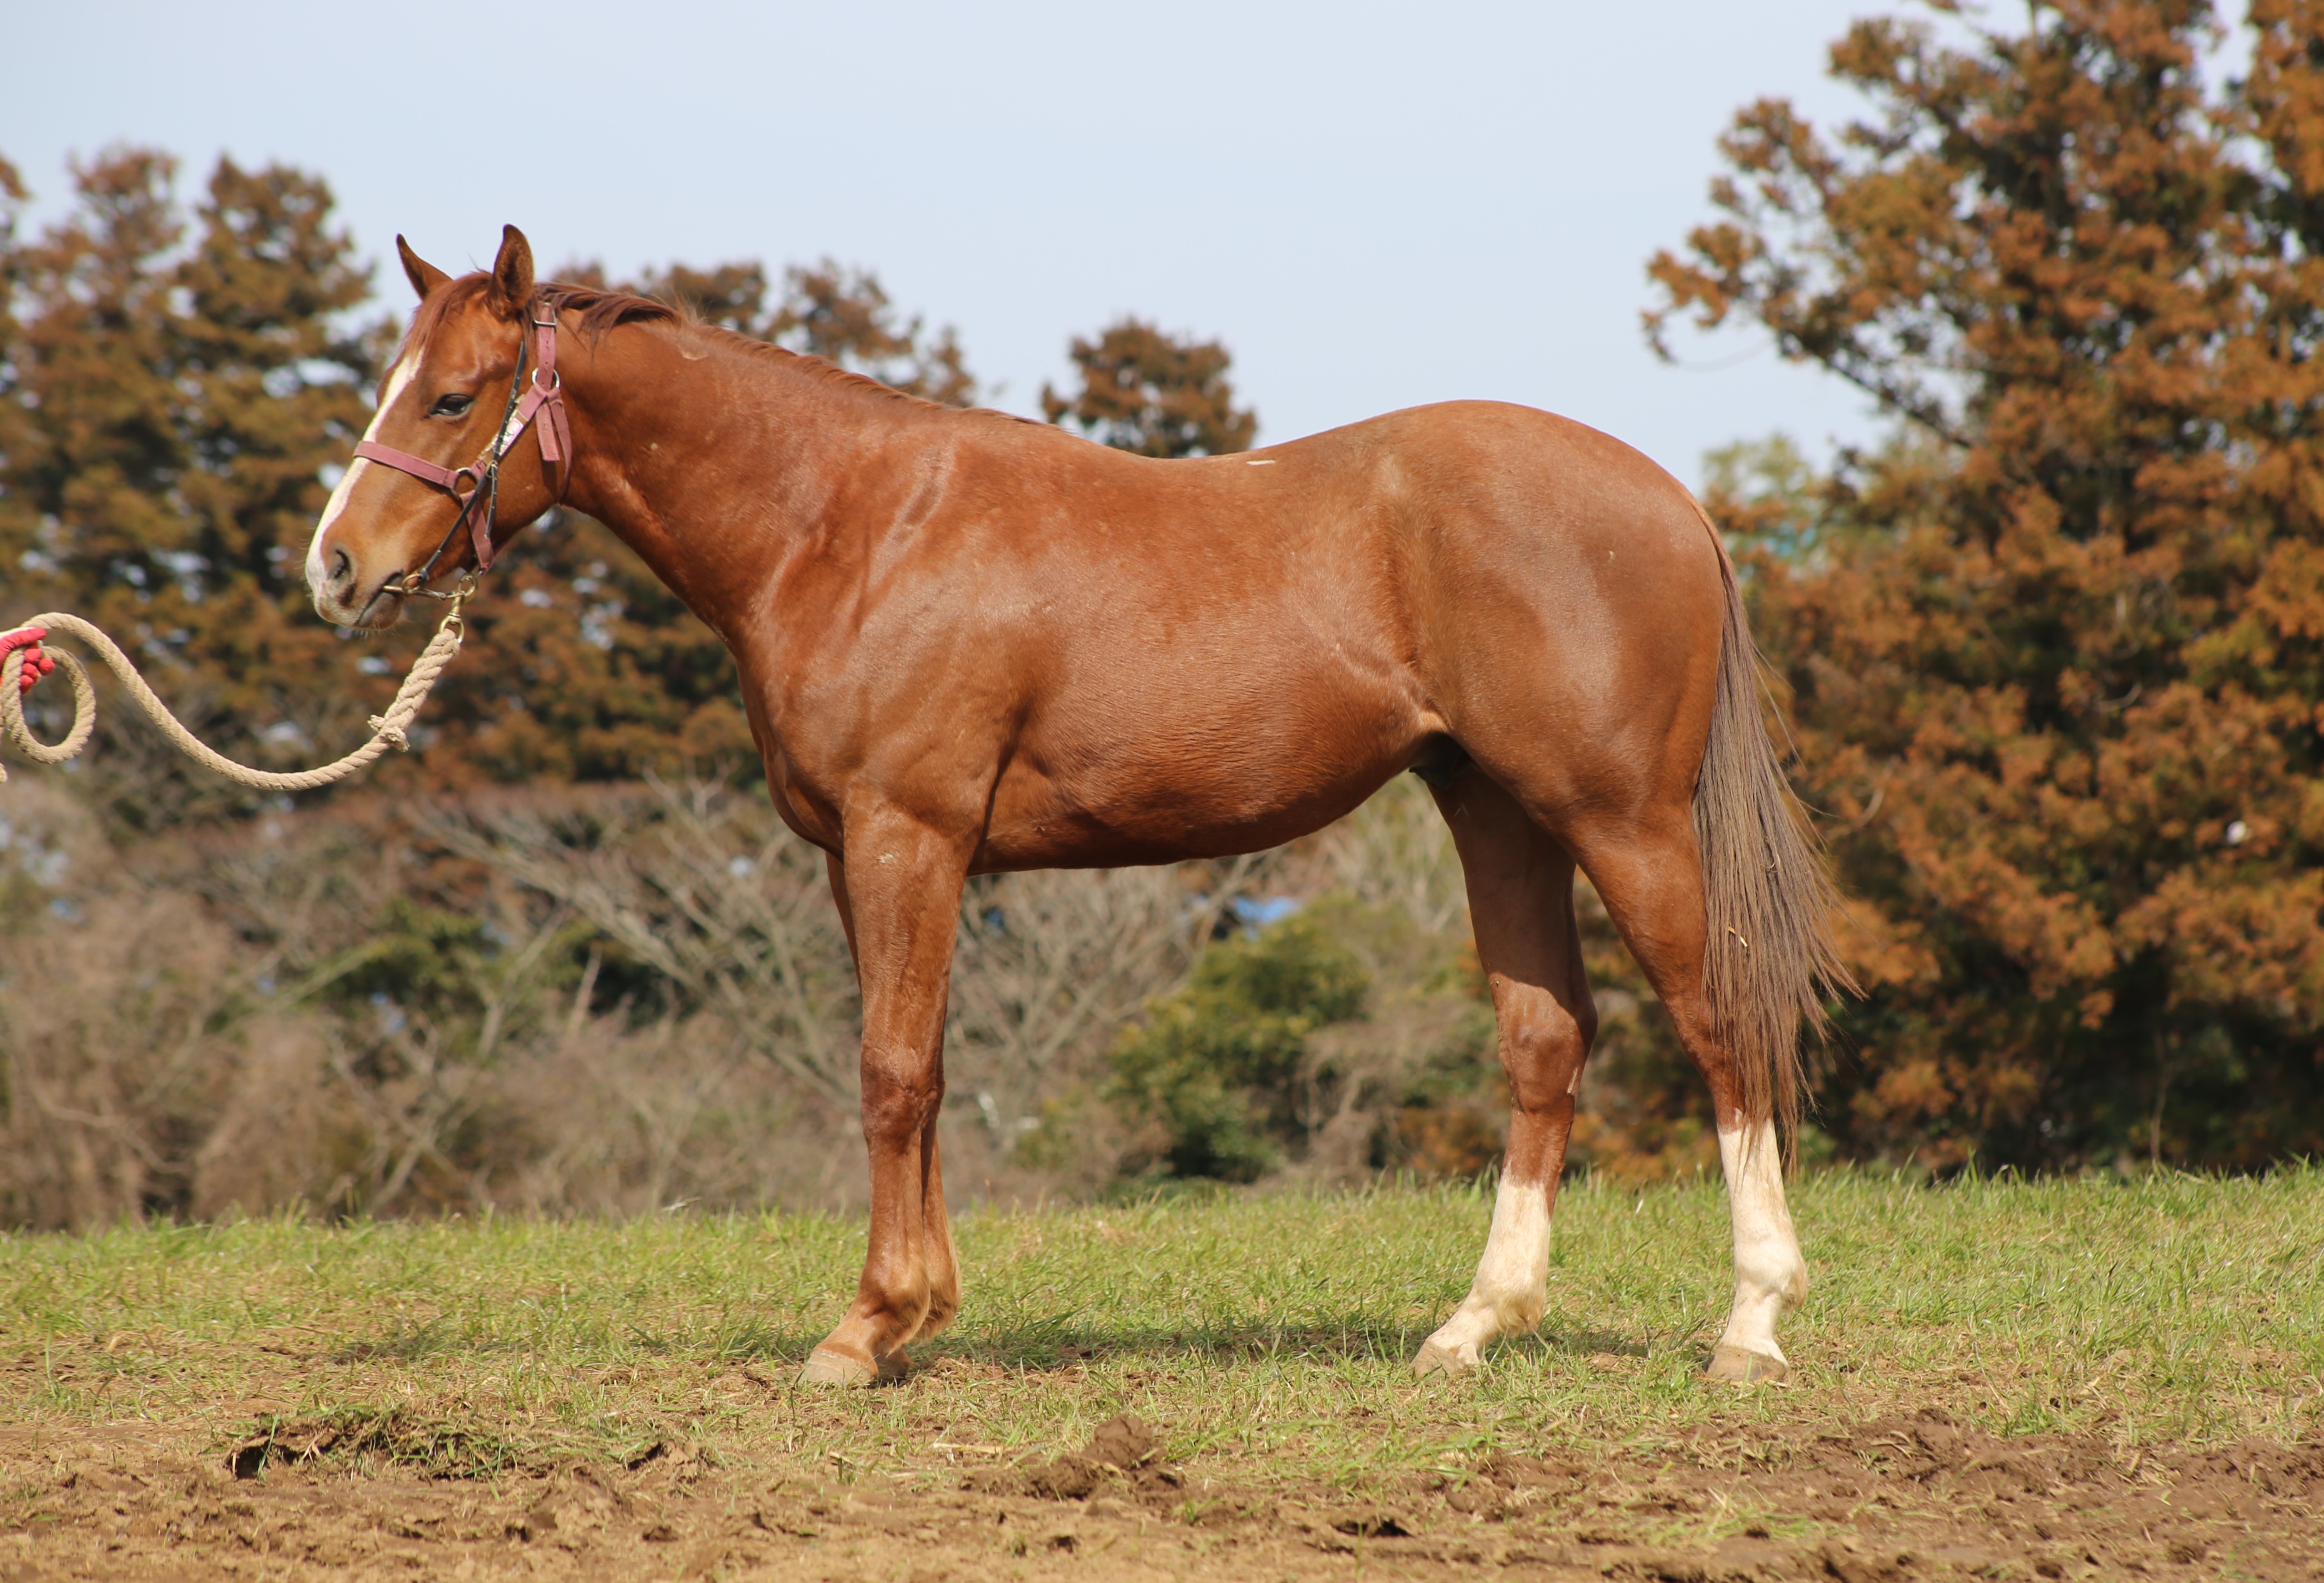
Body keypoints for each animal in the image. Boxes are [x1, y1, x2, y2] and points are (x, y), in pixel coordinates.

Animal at [304, 229, 1850, 1385]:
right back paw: (1475, 1325)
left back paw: (1751, 1324)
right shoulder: (861, 856)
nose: (334, 567)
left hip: (1620, 819)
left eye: (452, 397)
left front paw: (864, 1330)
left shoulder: (909, 834)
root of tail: (1677, 504)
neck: (850, 524)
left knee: (1721, 1021)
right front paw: (916, 1313)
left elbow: (891, 1072)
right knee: (1547, 1041)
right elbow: (918, 1069)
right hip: (1499, 815)